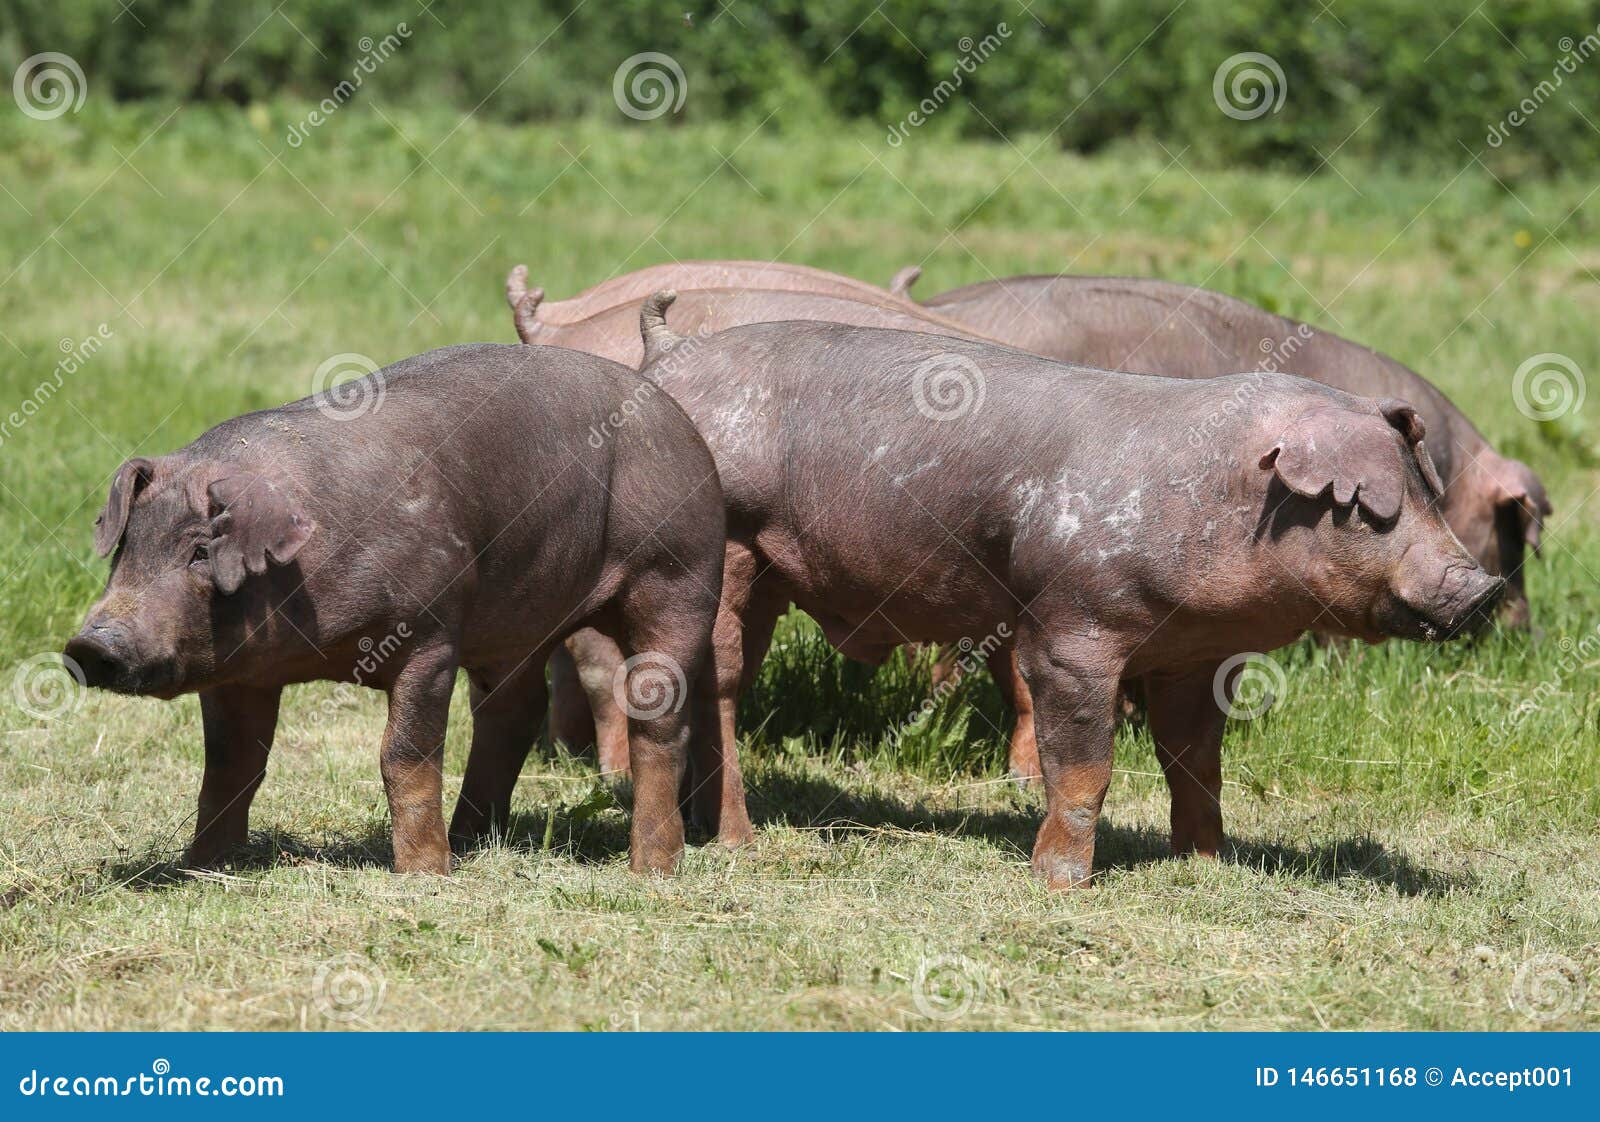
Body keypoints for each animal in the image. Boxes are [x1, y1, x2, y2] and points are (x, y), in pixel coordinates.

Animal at [64, 340, 726, 877]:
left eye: (201, 551)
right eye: (126, 545)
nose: (89, 644)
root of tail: (679, 419)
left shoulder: (430, 633)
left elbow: (404, 753)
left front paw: (422, 875)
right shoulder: (240, 674)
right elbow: (231, 764)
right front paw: (202, 865)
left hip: (680, 572)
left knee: (657, 713)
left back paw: (651, 870)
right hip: (520, 620)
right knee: (513, 710)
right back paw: (472, 841)